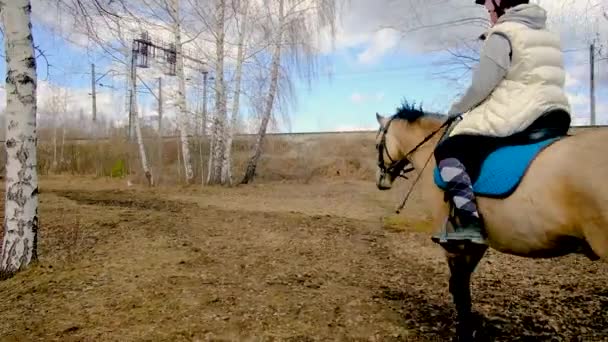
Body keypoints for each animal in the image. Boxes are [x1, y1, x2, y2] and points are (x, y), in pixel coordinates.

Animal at [372, 101, 608, 342]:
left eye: (377, 145)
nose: (381, 180)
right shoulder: (474, 243)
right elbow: (462, 285)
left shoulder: (453, 246)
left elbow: (459, 287)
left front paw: (465, 331)